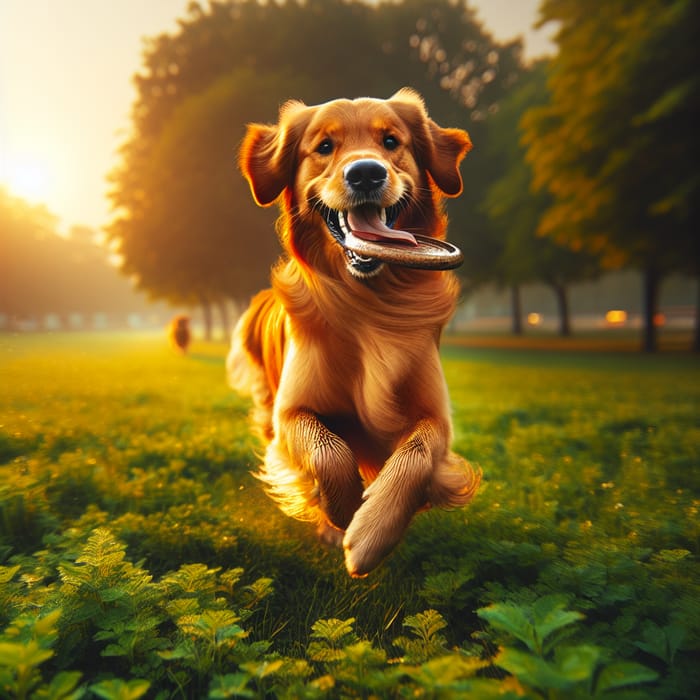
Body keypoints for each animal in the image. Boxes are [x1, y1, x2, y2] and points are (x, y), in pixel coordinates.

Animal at [230, 87, 482, 576]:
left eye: (391, 141)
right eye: (325, 147)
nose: (366, 173)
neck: (369, 303)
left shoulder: (435, 415)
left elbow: (417, 455)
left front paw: (371, 533)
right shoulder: (292, 410)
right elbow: (328, 451)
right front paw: (343, 513)